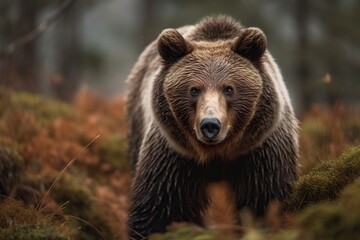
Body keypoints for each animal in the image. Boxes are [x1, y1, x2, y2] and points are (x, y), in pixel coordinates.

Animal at [126, 15, 298, 239]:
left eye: (229, 89)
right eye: (194, 90)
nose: (210, 125)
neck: (218, 152)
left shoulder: (260, 150)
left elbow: (265, 199)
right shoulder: (175, 154)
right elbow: (160, 207)